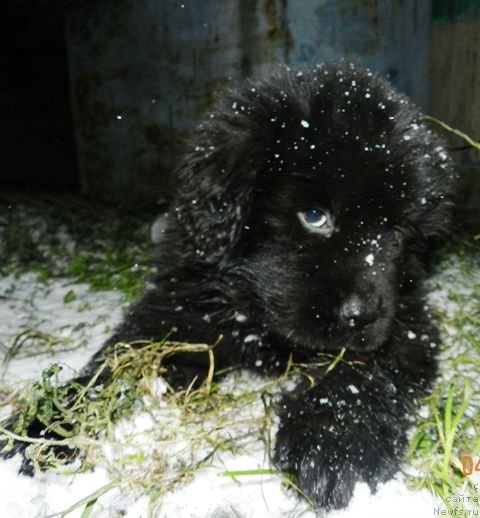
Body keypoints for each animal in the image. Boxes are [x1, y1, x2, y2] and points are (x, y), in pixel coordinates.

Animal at [2, 64, 454, 512]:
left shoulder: (407, 320)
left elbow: (361, 371)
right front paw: (46, 426)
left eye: (395, 232)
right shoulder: (180, 305)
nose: (361, 315)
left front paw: (334, 446)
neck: (256, 318)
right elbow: (119, 362)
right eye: (314, 216)